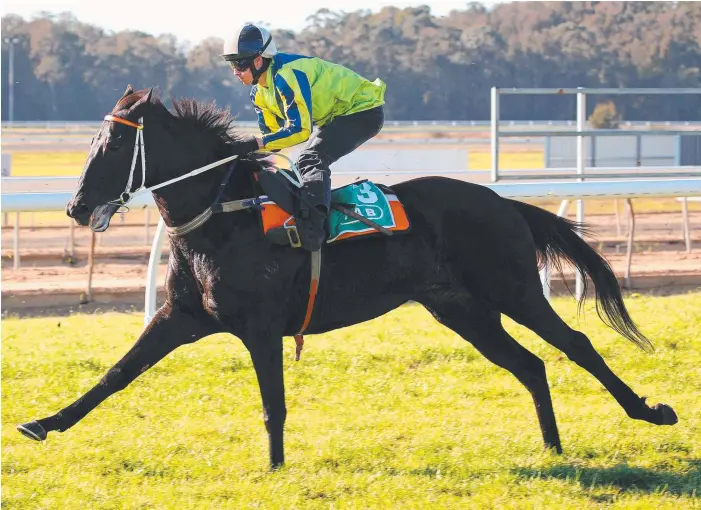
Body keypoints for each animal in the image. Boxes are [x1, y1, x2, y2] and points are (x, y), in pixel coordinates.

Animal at [16, 85, 676, 468]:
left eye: (109, 146)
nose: (75, 207)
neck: (223, 214)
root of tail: (502, 201)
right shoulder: (182, 316)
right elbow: (116, 374)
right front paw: (43, 423)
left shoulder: (260, 327)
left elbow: (273, 403)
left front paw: (275, 468)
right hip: (460, 308)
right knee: (531, 364)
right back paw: (553, 449)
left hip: (509, 288)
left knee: (577, 344)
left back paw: (649, 412)